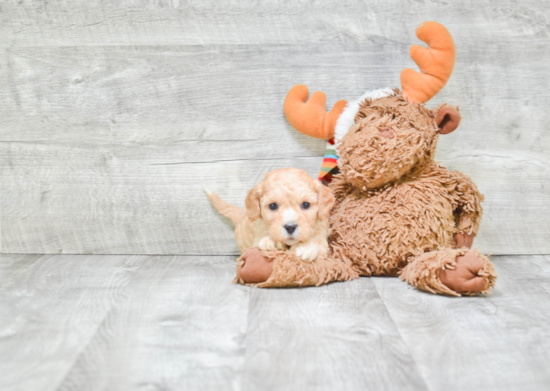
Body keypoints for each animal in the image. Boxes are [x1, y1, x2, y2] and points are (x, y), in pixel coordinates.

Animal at [207, 168, 336, 264]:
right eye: (273, 206)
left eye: (305, 204)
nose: (290, 227)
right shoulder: (256, 237)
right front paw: (268, 241)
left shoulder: (323, 241)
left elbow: (319, 246)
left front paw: (307, 247)